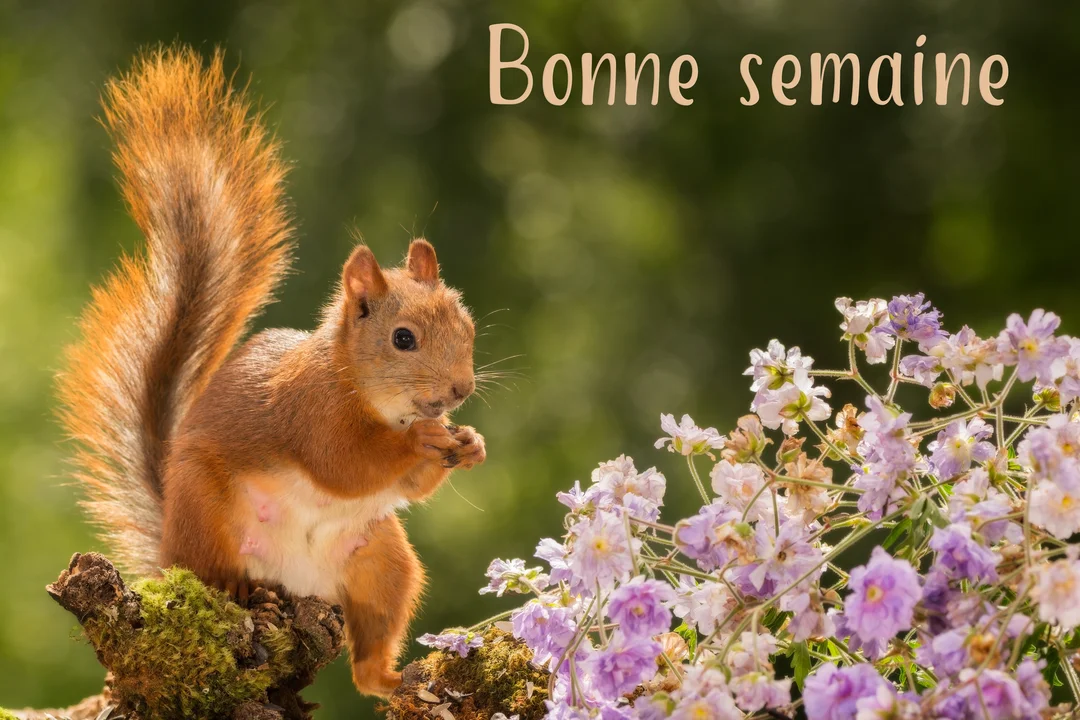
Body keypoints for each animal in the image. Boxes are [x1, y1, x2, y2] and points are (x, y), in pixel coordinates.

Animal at [56, 45, 485, 698]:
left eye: (467, 324)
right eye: (403, 339)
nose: (461, 390)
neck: (364, 391)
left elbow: (408, 485)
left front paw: (470, 443)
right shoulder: (310, 411)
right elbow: (346, 463)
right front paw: (423, 440)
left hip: (382, 561)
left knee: (369, 647)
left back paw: (389, 678)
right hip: (208, 511)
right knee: (213, 569)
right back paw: (238, 587)